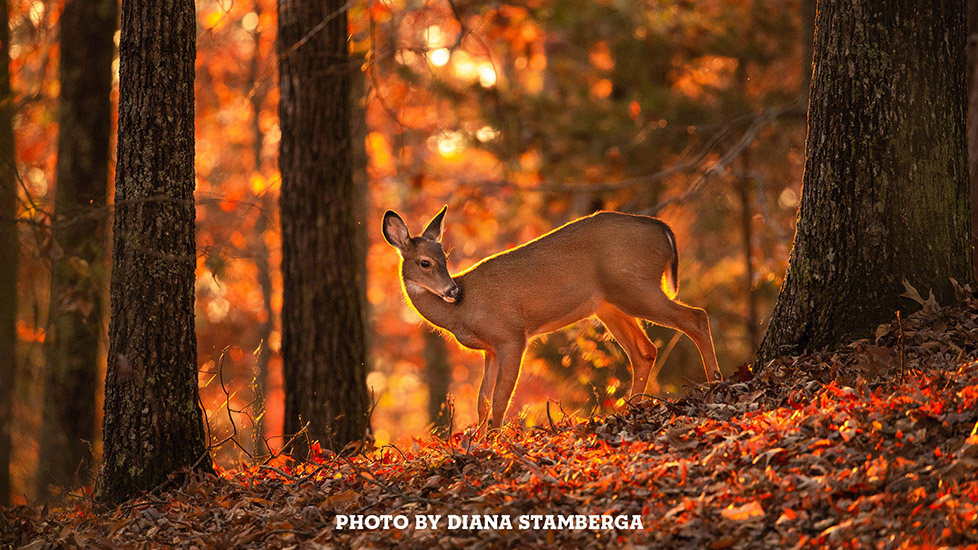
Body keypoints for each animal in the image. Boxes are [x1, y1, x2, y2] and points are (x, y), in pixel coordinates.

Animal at [380, 205, 716, 434]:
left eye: (445, 259)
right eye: (426, 262)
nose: (452, 290)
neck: (461, 314)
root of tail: (663, 229)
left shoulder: (511, 335)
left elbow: (501, 397)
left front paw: (494, 440)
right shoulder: (490, 350)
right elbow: (482, 399)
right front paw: (478, 439)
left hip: (634, 286)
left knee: (696, 317)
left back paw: (714, 383)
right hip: (609, 303)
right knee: (645, 351)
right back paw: (630, 406)